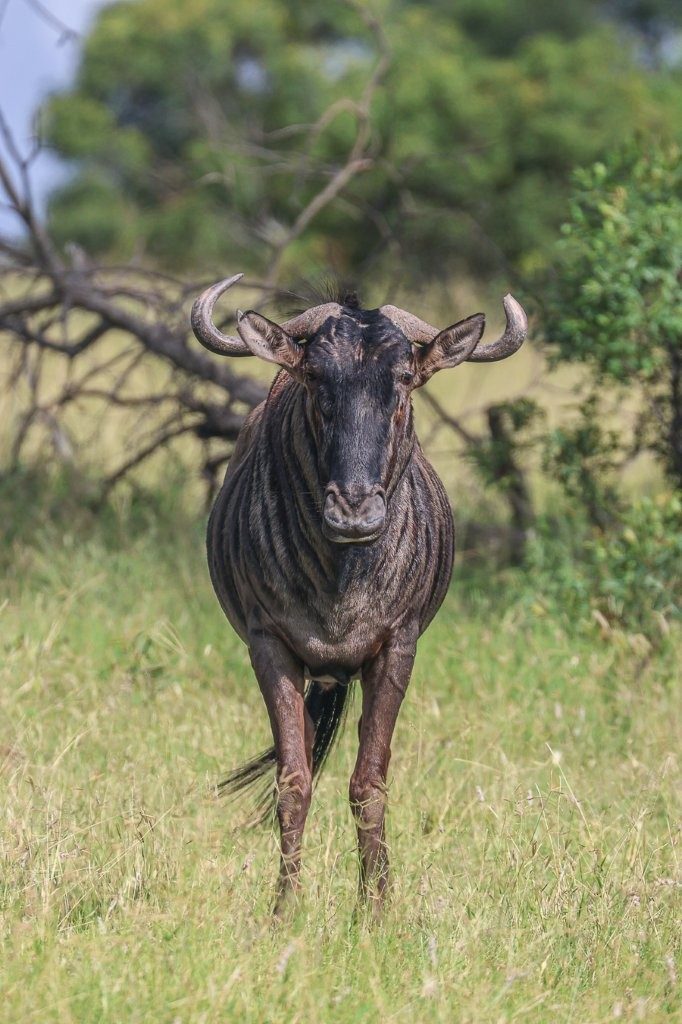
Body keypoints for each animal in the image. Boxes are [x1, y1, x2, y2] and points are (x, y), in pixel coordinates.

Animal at [191, 274, 527, 915]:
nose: (353, 511)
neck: (339, 577)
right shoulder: (269, 645)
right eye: (316, 378)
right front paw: (285, 909)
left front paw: (376, 908)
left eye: (404, 381)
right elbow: (293, 781)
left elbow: (368, 782)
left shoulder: (395, 648)